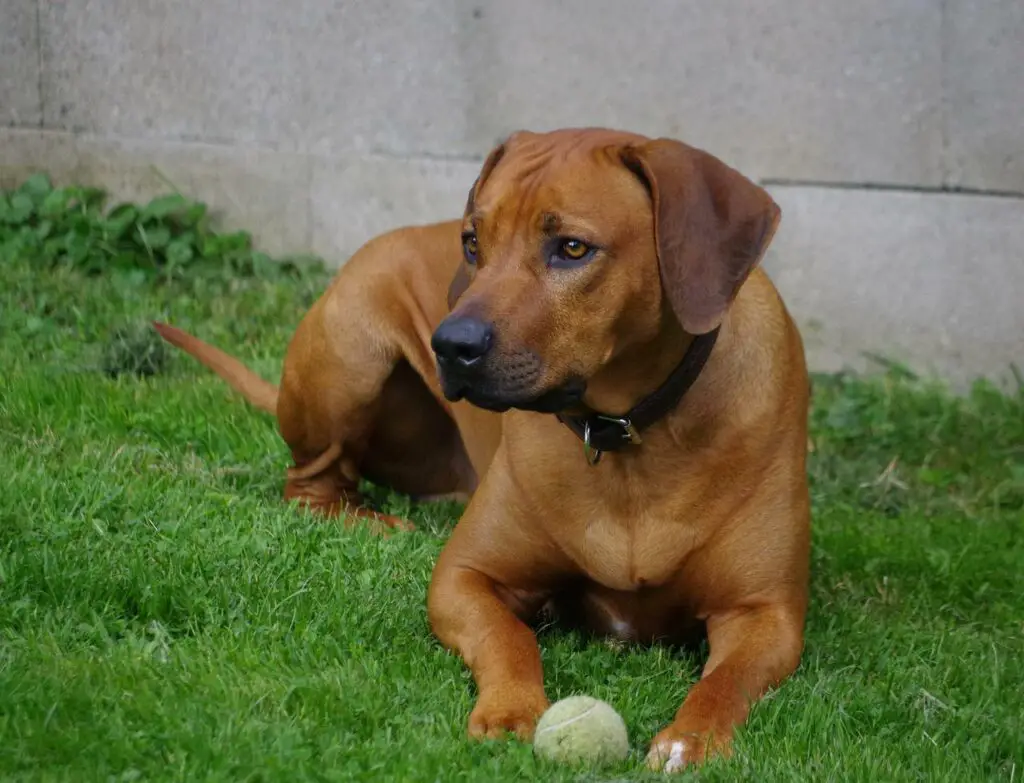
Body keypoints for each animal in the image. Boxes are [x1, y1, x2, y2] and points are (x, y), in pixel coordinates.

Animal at [153, 128, 806, 769]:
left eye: (572, 248)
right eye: (472, 242)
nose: (450, 345)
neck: (623, 431)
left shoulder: (766, 614)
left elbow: (726, 680)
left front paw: (691, 740)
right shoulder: (464, 576)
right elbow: (505, 635)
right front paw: (510, 709)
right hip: (350, 351)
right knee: (309, 484)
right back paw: (376, 523)